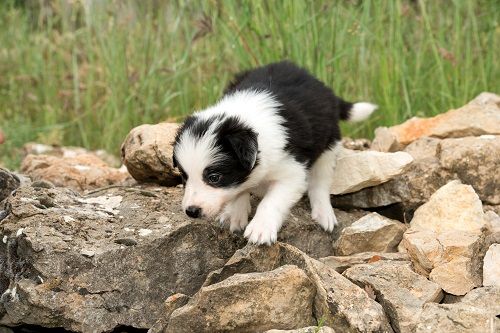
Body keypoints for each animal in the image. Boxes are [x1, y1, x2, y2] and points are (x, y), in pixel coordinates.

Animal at [172, 61, 376, 244]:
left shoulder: (293, 173)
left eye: (214, 177)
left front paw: (260, 229)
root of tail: (325, 89)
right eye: (183, 176)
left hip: (328, 144)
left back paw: (324, 213)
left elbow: (271, 201)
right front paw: (234, 213)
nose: (191, 211)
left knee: (321, 181)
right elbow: (238, 190)